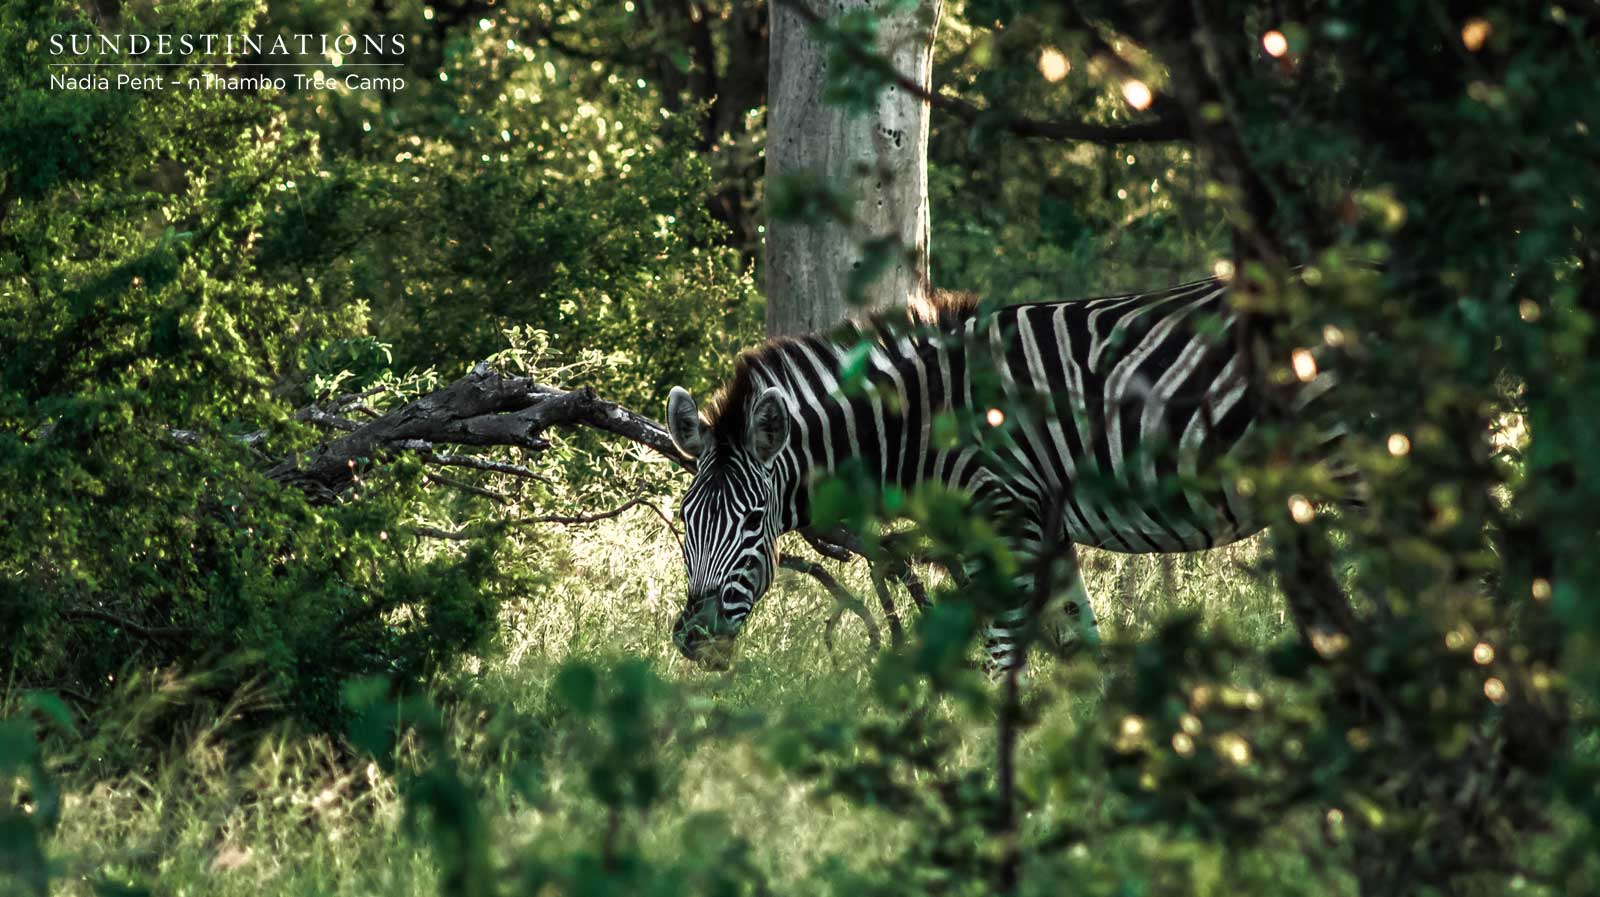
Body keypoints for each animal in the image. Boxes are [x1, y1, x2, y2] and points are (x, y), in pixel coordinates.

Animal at [665, 275, 1329, 671]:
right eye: (685, 519)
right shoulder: (1048, 531)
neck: (924, 418)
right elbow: (1081, 651)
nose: (693, 637)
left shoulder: (1005, 523)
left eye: (754, 520)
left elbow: (1001, 661)